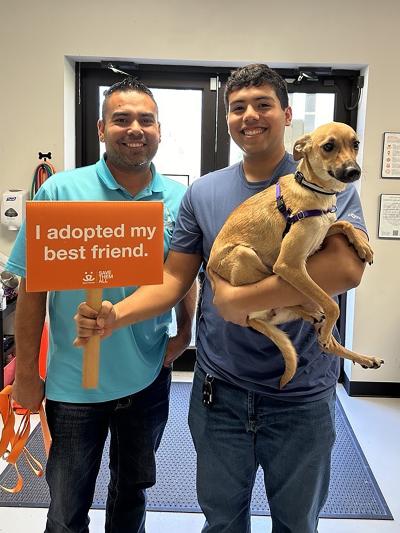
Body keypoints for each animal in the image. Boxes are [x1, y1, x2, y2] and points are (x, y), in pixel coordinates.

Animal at [208, 120, 382, 386]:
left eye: (356, 144)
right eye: (328, 146)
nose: (354, 171)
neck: (316, 191)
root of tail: (254, 320)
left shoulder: (320, 236)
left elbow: (343, 223)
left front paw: (363, 246)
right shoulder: (288, 265)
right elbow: (334, 307)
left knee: (327, 339)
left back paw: (363, 357)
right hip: (245, 256)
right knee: (292, 299)